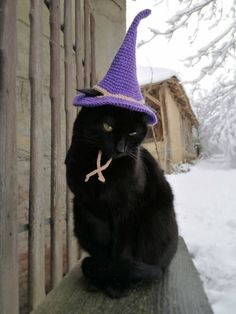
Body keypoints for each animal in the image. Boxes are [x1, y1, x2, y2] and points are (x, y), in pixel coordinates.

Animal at [65, 94, 178, 298]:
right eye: (107, 126)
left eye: (133, 132)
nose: (120, 148)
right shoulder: (89, 210)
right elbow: (102, 249)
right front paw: (103, 277)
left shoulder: (128, 210)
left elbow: (123, 250)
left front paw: (118, 283)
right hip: (78, 215)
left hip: (157, 218)